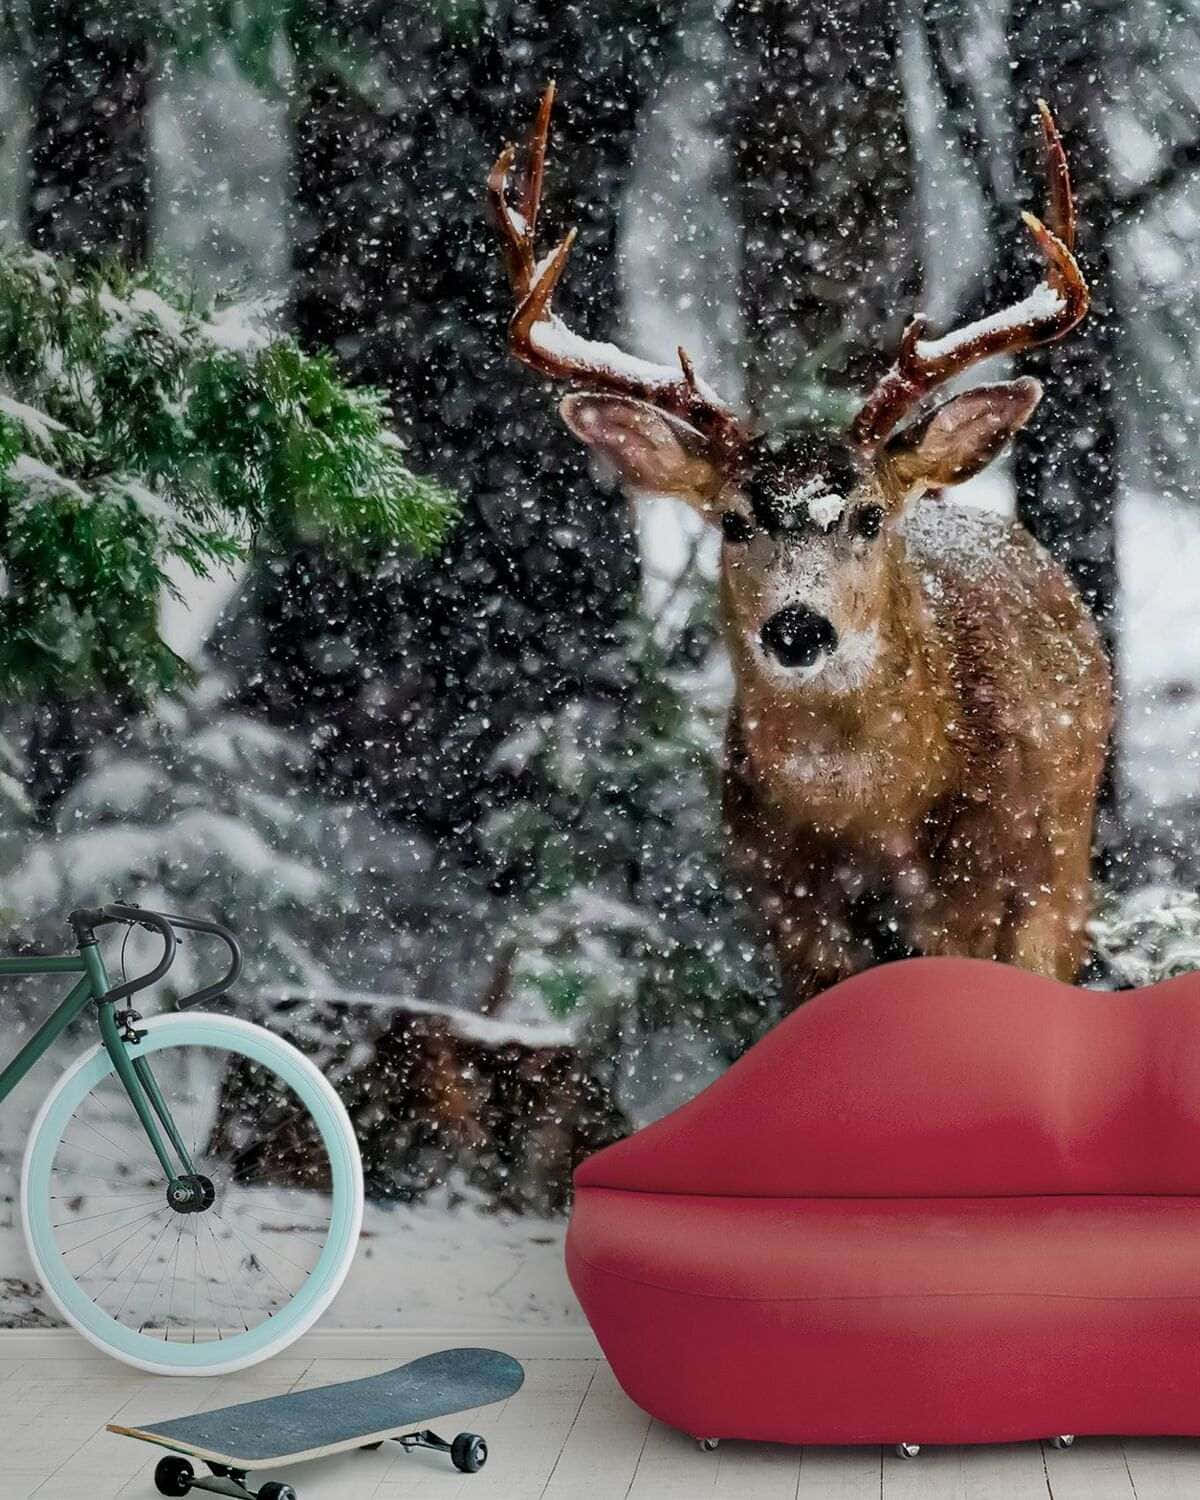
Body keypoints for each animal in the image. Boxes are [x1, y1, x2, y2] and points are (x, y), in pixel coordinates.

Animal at [488, 85, 1113, 1006]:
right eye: (734, 521)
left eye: (868, 516)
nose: (797, 628)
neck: (873, 823)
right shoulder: (786, 913)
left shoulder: (978, 892)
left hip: (1062, 873)